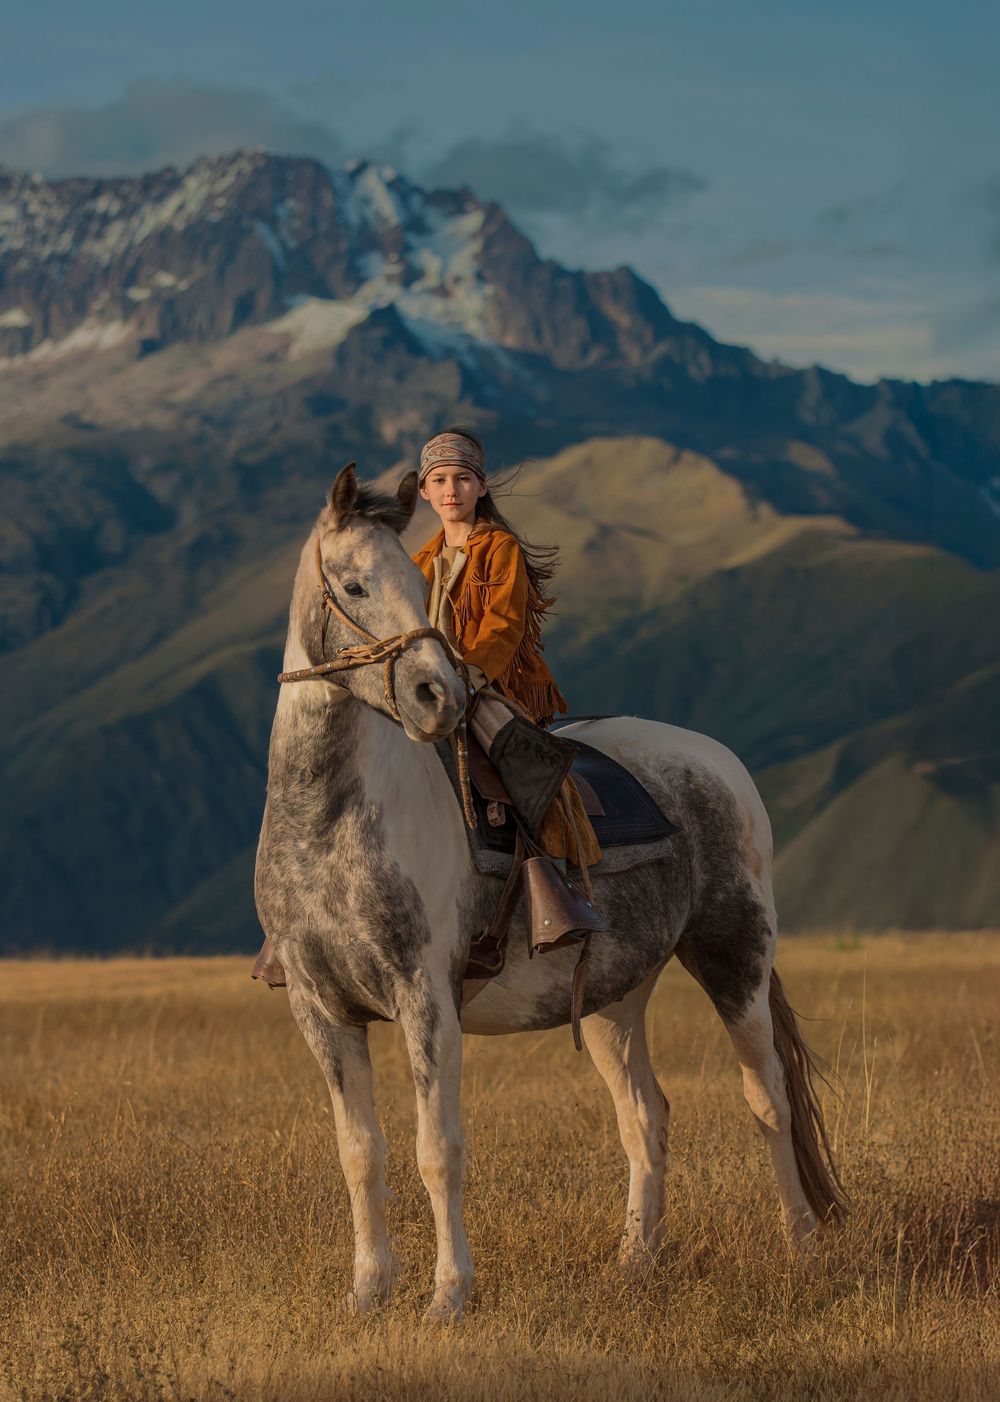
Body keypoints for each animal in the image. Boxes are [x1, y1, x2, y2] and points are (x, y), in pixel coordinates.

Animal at [254, 463, 845, 1323]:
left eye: (414, 582)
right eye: (356, 584)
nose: (437, 696)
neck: (332, 823)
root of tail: (721, 763)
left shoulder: (425, 999)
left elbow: (438, 1150)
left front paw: (448, 1296)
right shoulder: (321, 1008)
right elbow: (361, 1152)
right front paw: (367, 1292)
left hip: (735, 957)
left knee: (766, 1097)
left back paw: (802, 1251)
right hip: (611, 1000)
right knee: (644, 1117)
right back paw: (634, 1262)